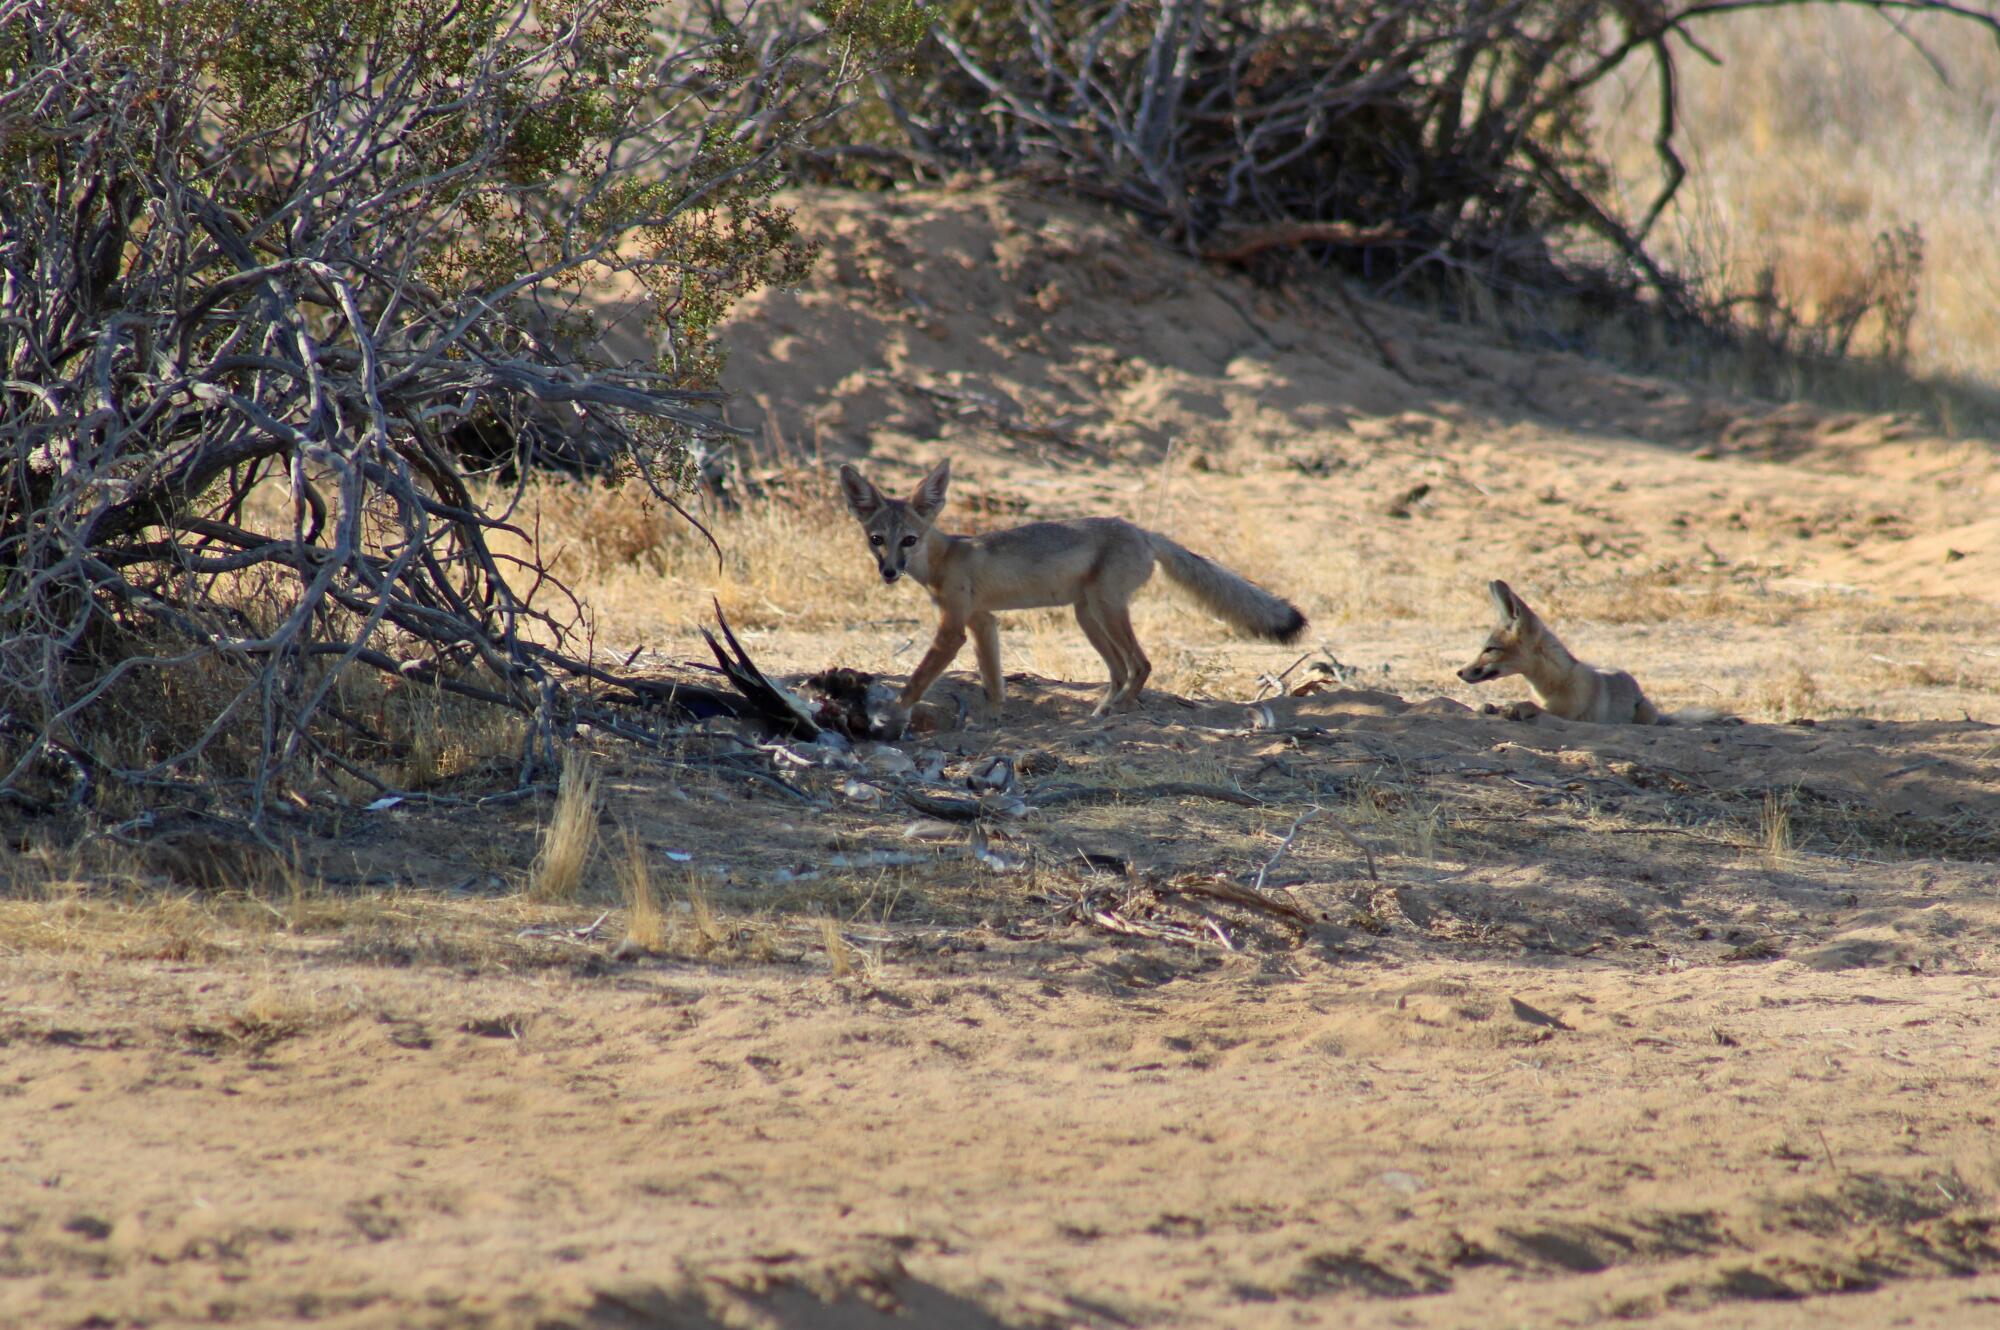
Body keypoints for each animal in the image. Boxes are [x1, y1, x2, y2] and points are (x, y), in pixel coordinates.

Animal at [836, 456, 1304, 716]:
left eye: (909, 541)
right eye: (877, 540)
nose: (889, 572)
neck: (946, 556)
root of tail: (1142, 531)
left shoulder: (953, 628)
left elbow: (918, 679)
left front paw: (894, 713)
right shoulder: (983, 620)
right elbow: (993, 677)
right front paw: (995, 716)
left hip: (1106, 608)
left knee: (1141, 665)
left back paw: (1120, 710)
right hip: (1087, 615)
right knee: (1119, 671)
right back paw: (1100, 711)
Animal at [1456, 580, 1720, 728]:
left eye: (1490, 649)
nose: (1459, 672)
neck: (1553, 684)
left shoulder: (1571, 715)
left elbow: (1534, 707)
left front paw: (1515, 708)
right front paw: (1490, 707)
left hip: (1645, 713)